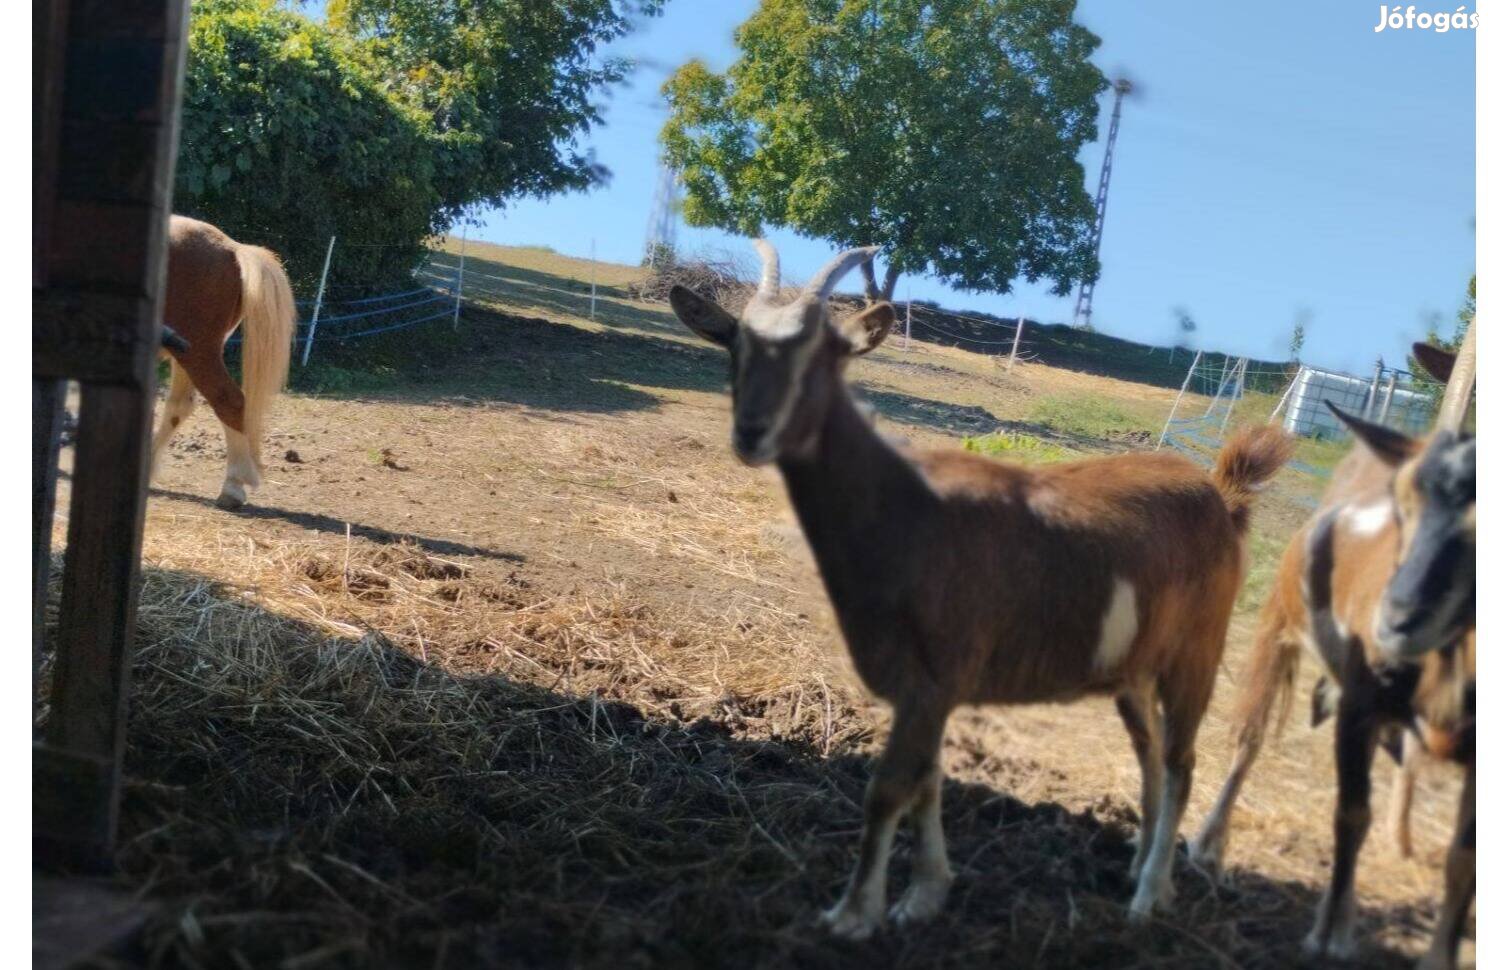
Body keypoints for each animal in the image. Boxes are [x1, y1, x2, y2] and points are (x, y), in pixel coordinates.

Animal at [154, 217, 299, 511]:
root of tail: (232, 248)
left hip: (199, 353)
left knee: (228, 401)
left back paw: (232, 488)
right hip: (187, 352)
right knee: (180, 406)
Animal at [672, 241, 1291, 934]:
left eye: (824, 351)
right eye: (734, 344)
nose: (752, 432)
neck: (910, 512)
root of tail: (1222, 496)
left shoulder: (934, 676)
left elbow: (889, 789)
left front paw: (855, 913)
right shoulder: (923, 689)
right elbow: (927, 782)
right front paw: (924, 894)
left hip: (1197, 651)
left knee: (1183, 762)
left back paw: (1150, 895)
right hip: (1132, 668)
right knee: (1151, 754)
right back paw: (1136, 868)